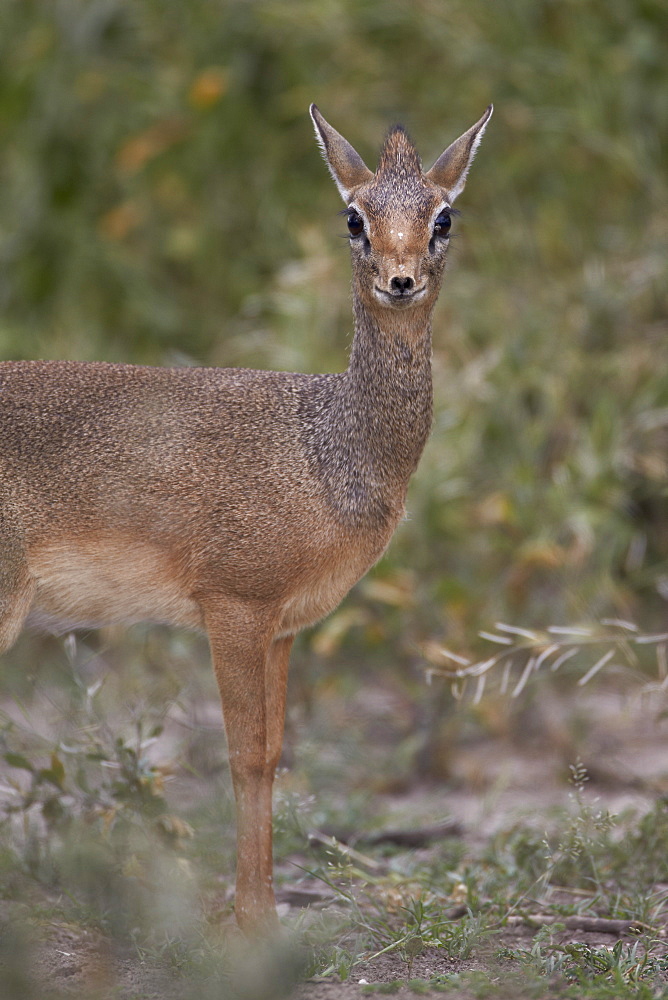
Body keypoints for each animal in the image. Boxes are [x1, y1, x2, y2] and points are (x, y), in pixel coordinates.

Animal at [0, 101, 490, 928]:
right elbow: (240, 755)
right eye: (353, 216)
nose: (400, 280)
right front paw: (250, 922)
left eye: (443, 215)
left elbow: (271, 756)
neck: (325, 448)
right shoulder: (234, 605)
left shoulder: (284, 626)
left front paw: (262, 912)